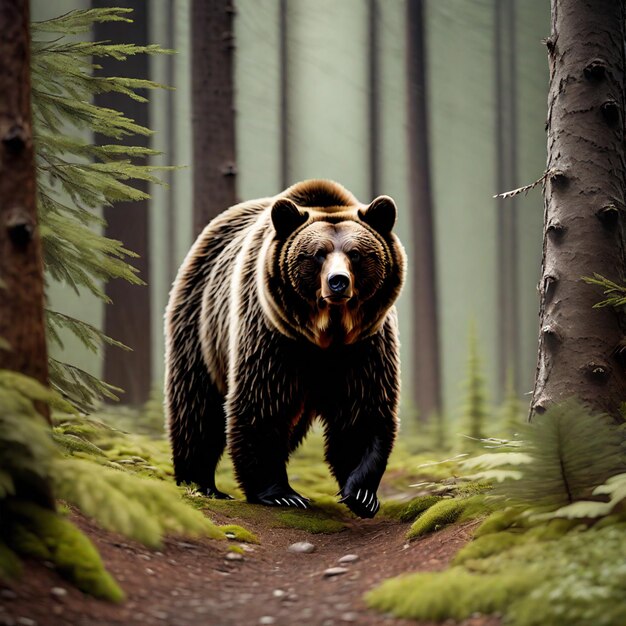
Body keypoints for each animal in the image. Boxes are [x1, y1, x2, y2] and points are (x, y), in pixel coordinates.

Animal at [165, 178, 404, 516]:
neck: (325, 334)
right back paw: (199, 481)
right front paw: (281, 493)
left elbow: (363, 408)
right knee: (197, 405)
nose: (338, 282)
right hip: (199, 321)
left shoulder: (365, 344)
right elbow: (261, 402)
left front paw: (362, 494)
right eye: (318, 254)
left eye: (356, 253)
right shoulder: (271, 335)